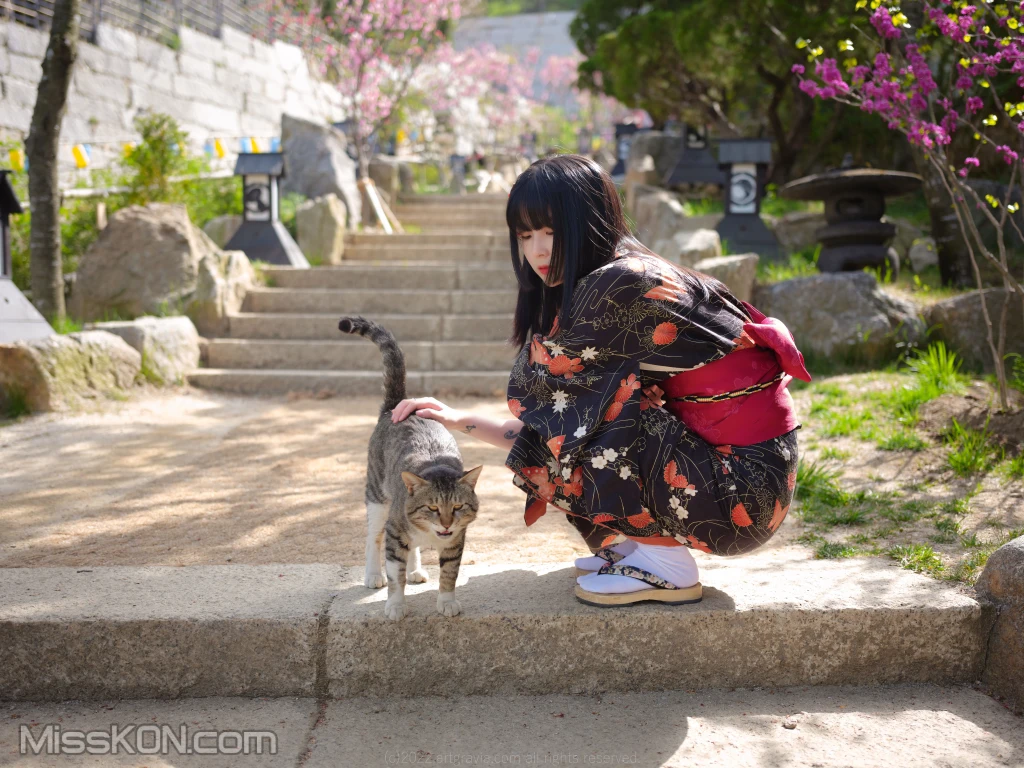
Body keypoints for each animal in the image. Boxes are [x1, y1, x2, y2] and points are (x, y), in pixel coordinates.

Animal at [335, 315, 479, 622]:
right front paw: (395, 605)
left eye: (457, 507)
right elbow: (395, 575)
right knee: (372, 538)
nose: (446, 524)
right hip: (377, 498)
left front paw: (446, 601)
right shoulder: (394, 532)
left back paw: (415, 570)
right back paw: (373, 574)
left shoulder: (456, 541)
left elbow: (449, 573)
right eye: (433, 507)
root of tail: (397, 406)